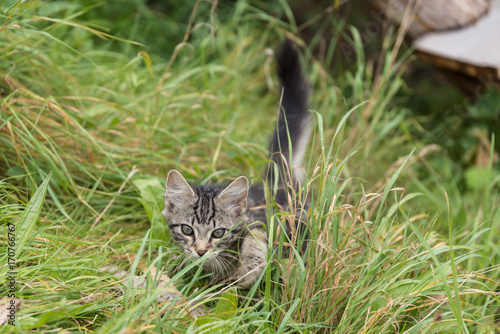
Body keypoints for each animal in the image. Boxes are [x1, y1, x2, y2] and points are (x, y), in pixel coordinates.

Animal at [162, 39, 310, 288]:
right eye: (187, 229)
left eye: (218, 233)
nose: (201, 251)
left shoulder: (261, 221)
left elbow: (256, 240)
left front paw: (248, 271)